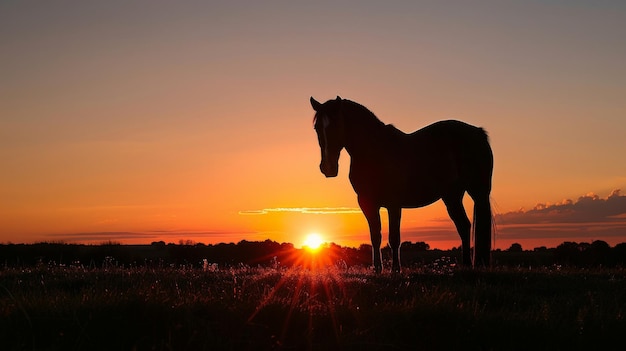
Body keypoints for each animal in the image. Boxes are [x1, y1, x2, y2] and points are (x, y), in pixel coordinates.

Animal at [310, 96, 490, 272]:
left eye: (335, 126)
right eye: (317, 128)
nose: (327, 168)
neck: (375, 152)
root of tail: (477, 132)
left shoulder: (394, 204)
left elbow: (394, 238)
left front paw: (396, 269)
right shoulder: (367, 203)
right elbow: (375, 236)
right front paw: (377, 269)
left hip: (478, 192)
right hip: (452, 196)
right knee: (464, 226)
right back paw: (466, 264)